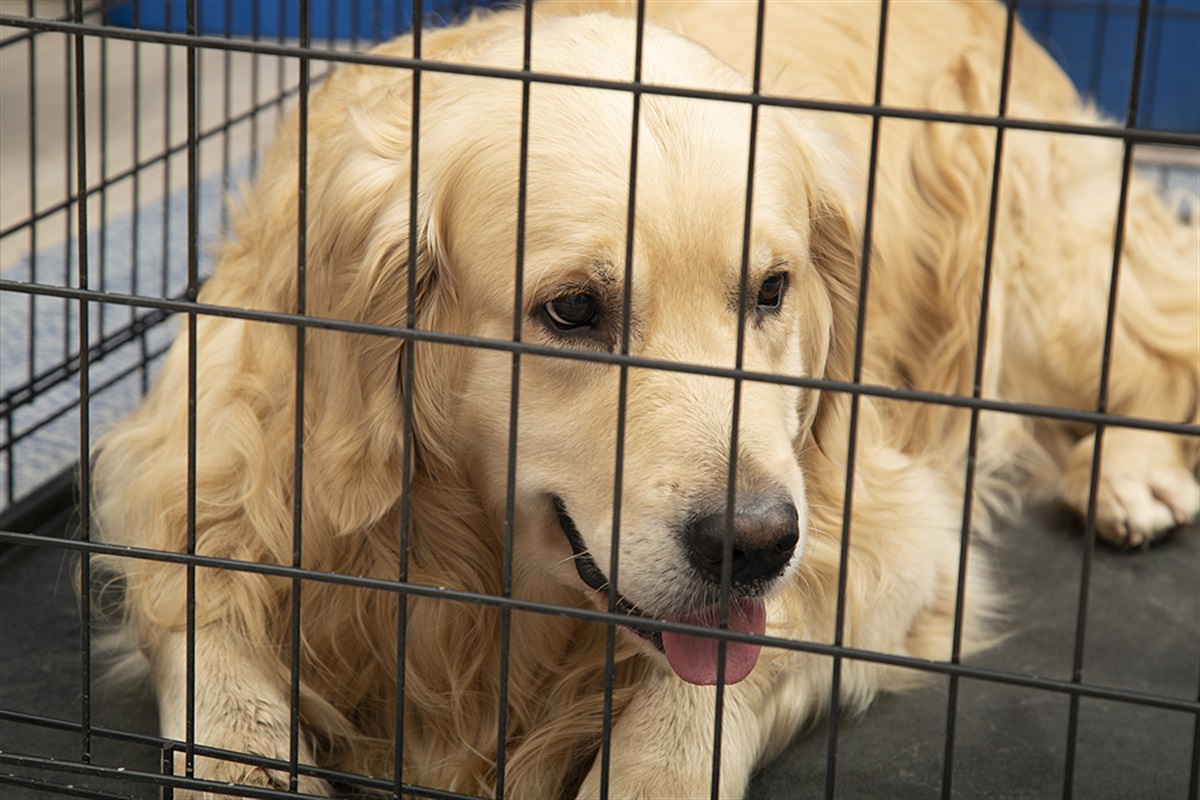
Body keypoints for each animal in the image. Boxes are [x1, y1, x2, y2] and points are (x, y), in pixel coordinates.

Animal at [96, 0, 1200, 796]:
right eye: (573, 309)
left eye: (772, 289)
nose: (755, 542)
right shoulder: (199, 481)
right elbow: (218, 677)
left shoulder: (876, 529)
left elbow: (702, 701)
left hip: (1046, 271)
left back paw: (1132, 476)